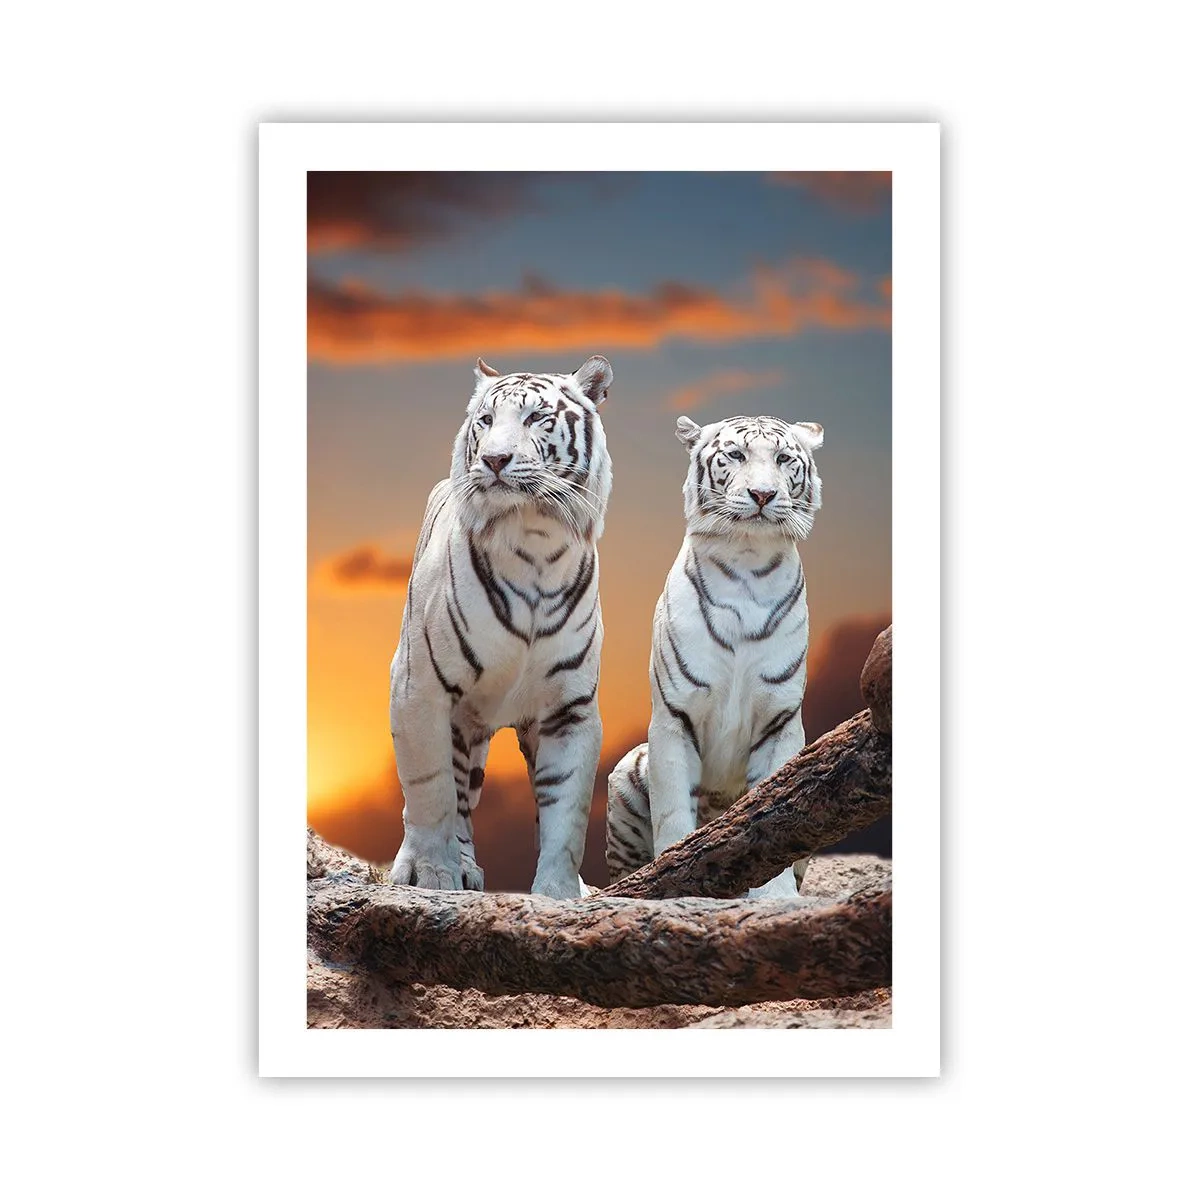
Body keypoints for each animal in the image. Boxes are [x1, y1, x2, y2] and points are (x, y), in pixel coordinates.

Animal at [388, 354, 613, 899]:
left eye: (536, 418)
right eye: (486, 421)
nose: (493, 460)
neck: (534, 540)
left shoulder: (570, 707)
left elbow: (567, 813)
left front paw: (560, 894)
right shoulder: (418, 687)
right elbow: (429, 792)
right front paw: (431, 874)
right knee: (451, 796)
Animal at [606, 412, 823, 897]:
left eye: (783, 459)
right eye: (736, 455)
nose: (763, 494)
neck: (747, 561)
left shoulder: (780, 720)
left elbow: (776, 811)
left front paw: (776, 897)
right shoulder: (674, 715)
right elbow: (673, 814)